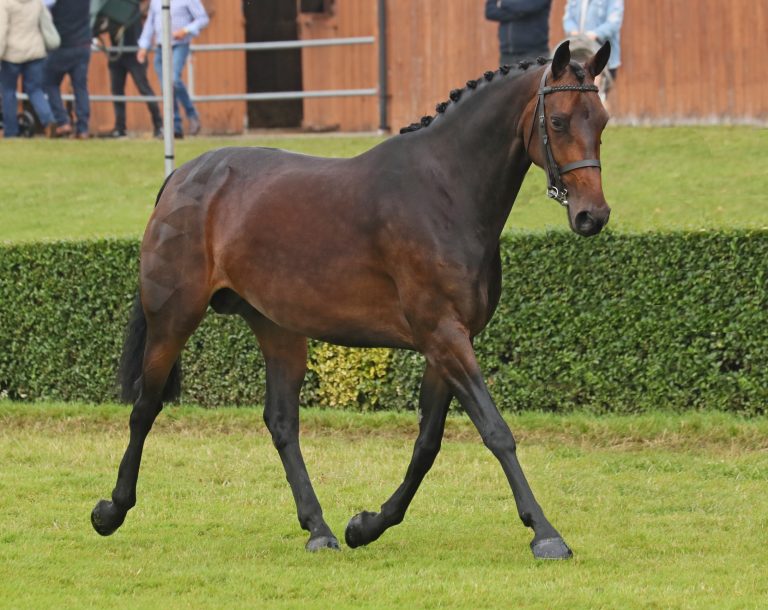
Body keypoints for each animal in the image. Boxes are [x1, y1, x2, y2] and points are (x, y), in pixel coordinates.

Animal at [91, 40, 612, 560]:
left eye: (602, 120)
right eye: (559, 121)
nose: (593, 215)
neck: (444, 192)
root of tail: (184, 174)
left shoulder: (446, 343)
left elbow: (427, 442)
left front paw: (367, 525)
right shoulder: (444, 336)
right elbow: (496, 431)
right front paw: (545, 532)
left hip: (278, 329)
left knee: (281, 422)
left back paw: (318, 528)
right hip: (174, 318)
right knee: (145, 407)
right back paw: (111, 510)